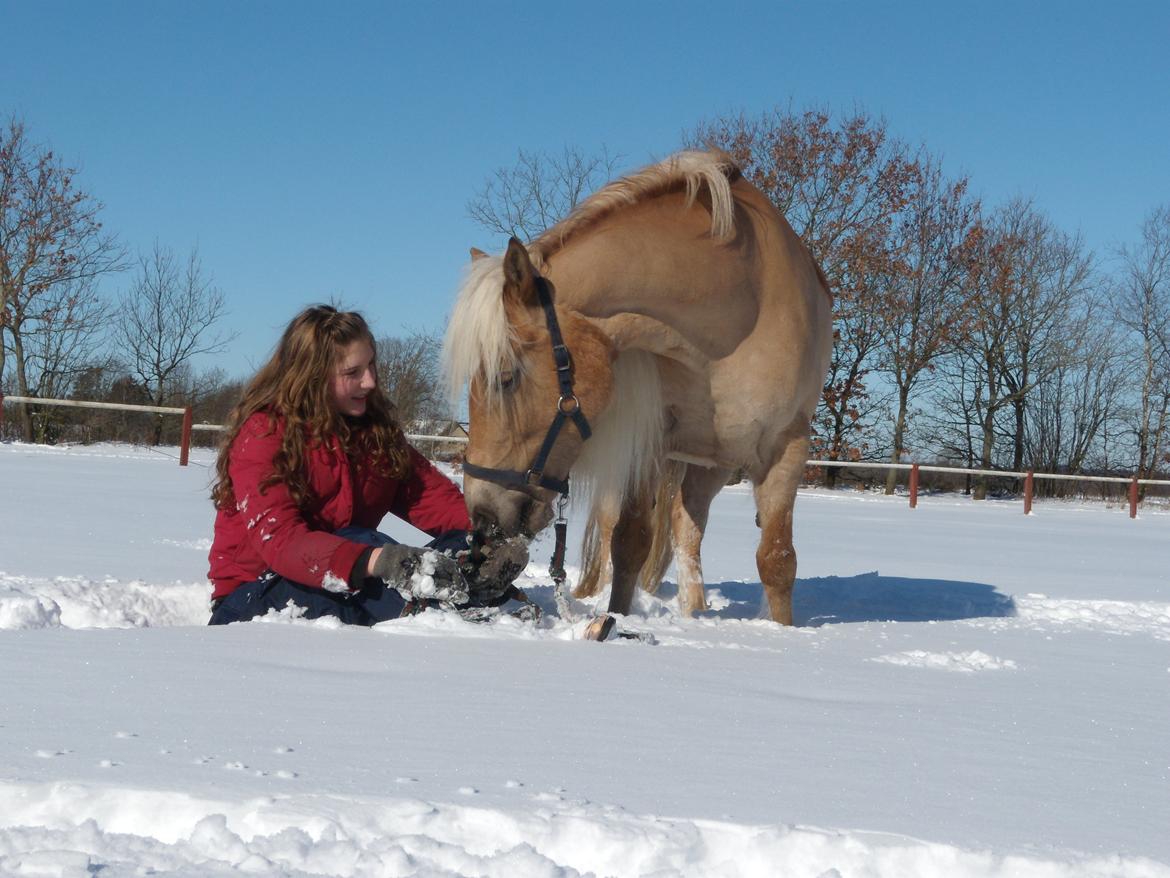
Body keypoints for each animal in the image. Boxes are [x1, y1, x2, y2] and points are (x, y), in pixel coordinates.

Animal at [442, 149, 837, 627]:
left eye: (505, 376)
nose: (481, 515)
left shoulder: (788, 446)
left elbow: (777, 560)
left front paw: (783, 633)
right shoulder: (650, 439)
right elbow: (629, 542)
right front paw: (616, 618)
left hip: (715, 462)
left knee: (687, 529)